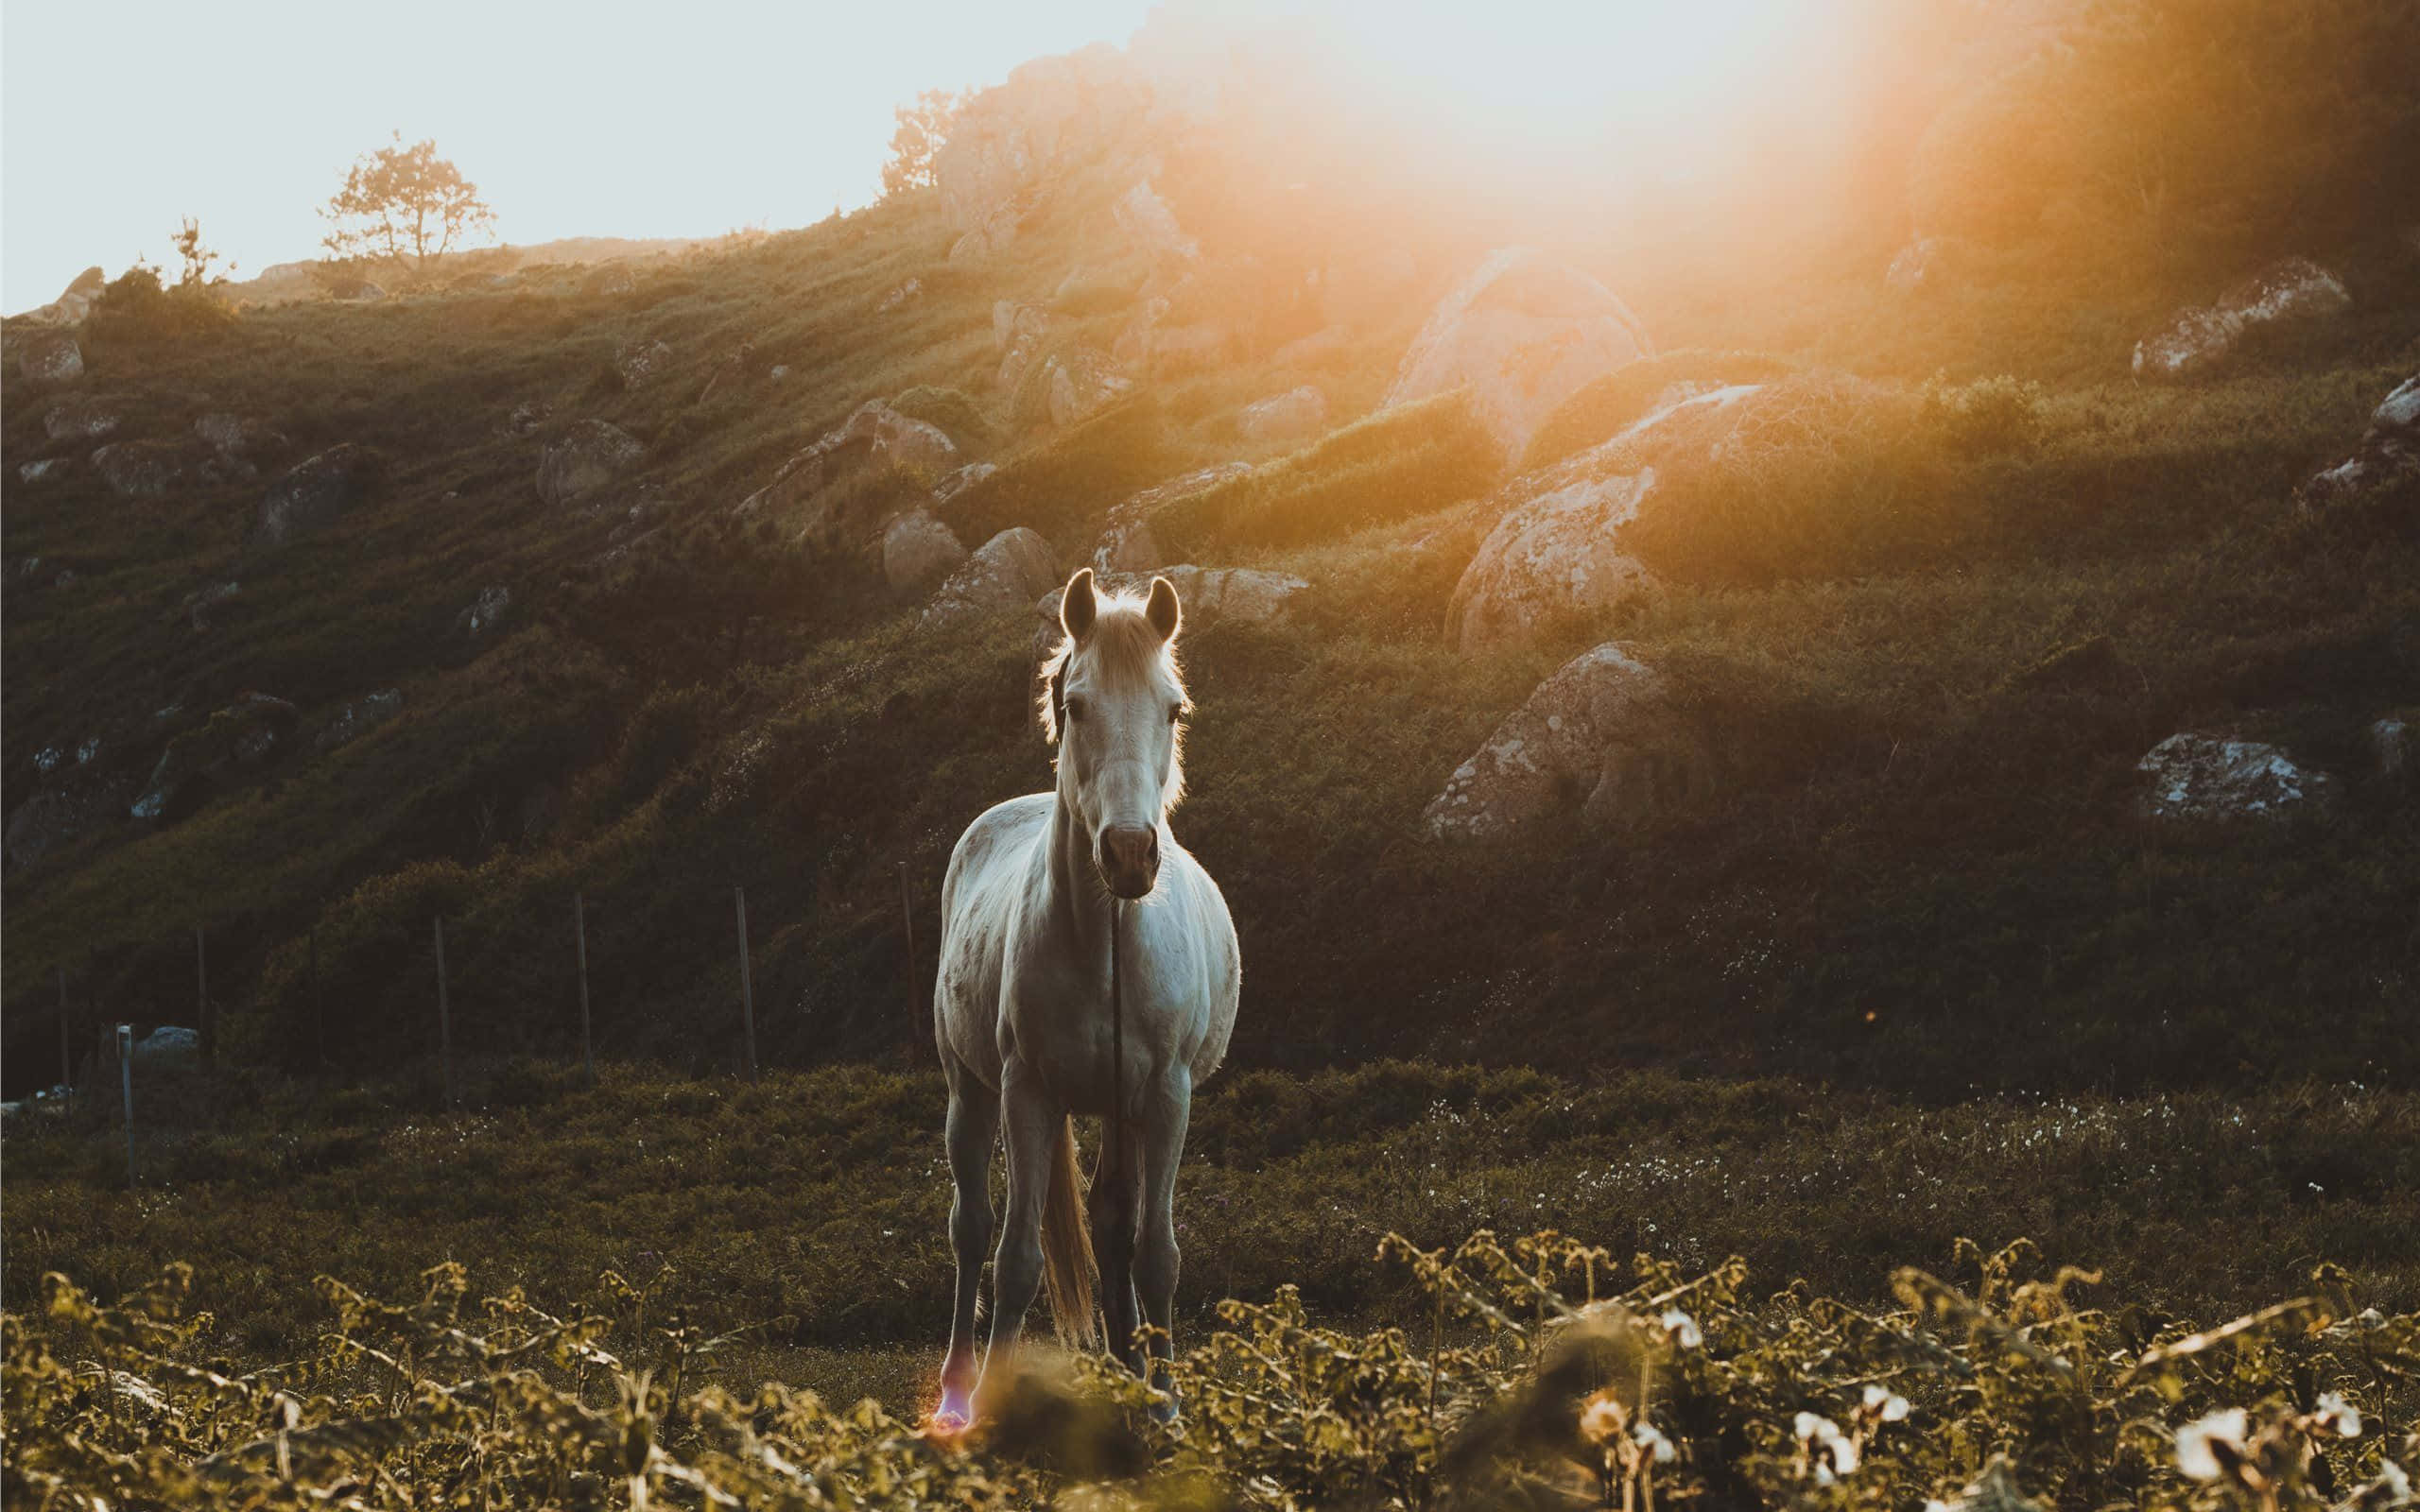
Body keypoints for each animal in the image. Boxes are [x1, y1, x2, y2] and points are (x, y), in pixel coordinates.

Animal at [929, 568, 1241, 1430]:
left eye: (1173, 708)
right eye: (1076, 705)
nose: (1130, 854)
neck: (1106, 945)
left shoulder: (1164, 1097)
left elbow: (1154, 1253)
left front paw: (1166, 1407)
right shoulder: (1027, 1092)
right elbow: (1016, 1258)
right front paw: (993, 1409)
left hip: (1119, 1109)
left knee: (1110, 1229)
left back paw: (1130, 1376)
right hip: (970, 1093)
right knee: (971, 1231)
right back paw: (958, 1389)